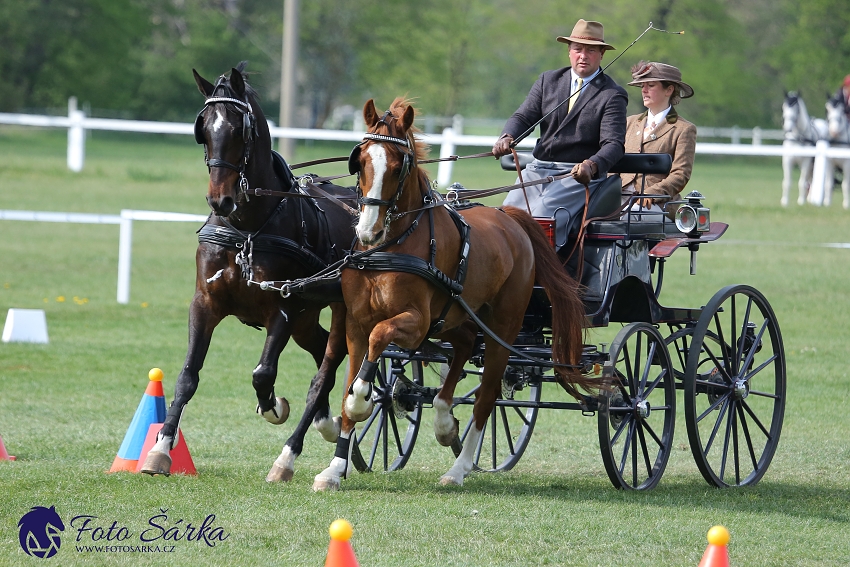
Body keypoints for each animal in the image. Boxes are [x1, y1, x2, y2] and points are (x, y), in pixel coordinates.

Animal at [141, 63, 352, 484]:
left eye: (242, 130)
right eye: (203, 129)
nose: (219, 200)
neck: (248, 230)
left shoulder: (282, 309)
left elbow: (262, 373)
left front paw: (273, 406)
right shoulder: (204, 303)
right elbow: (188, 375)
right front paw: (160, 449)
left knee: (330, 369)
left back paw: (292, 454)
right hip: (307, 318)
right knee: (321, 353)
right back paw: (326, 422)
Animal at [310, 96, 596, 488]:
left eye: (398, 167)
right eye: (362, 160)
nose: (368, 231)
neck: (391, 246)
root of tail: (509, 218)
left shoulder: (415, 322)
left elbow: (378, 342)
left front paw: (361, 404)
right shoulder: (356, 323)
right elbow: (350, 386)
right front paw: (335, 469)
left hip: (502, 327)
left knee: (487, 396)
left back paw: (458, 468)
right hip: (454, 318)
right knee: (464, 346)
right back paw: (445, 423)